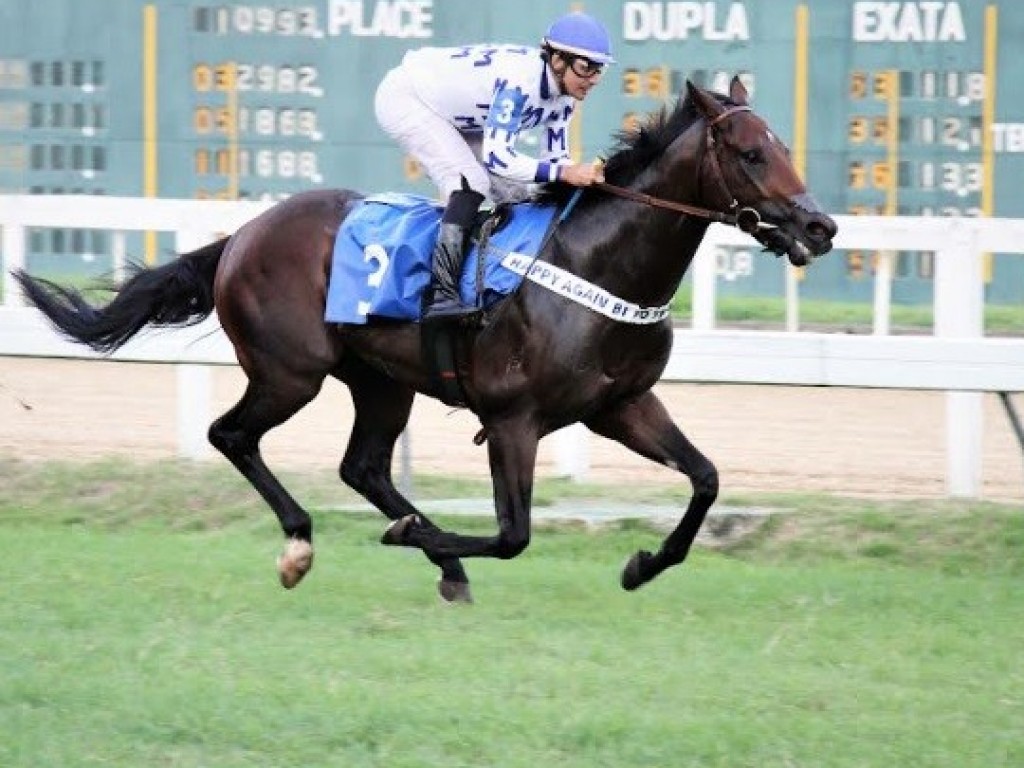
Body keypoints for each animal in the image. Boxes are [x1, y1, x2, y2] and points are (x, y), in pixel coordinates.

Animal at [14, 81, 831, 606]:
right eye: (750, 153)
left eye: (784, 145)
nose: (820, 226)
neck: (595, 263)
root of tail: (242, 235)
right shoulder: (514, 419)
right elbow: (512, 535)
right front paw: (416, 538)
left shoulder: (620, 405)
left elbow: (706, 480)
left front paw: (643, 564)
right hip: (291, 373)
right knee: (232, 435)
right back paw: (308, 543)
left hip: (380, 381)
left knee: (364, 467)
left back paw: (435, 555)